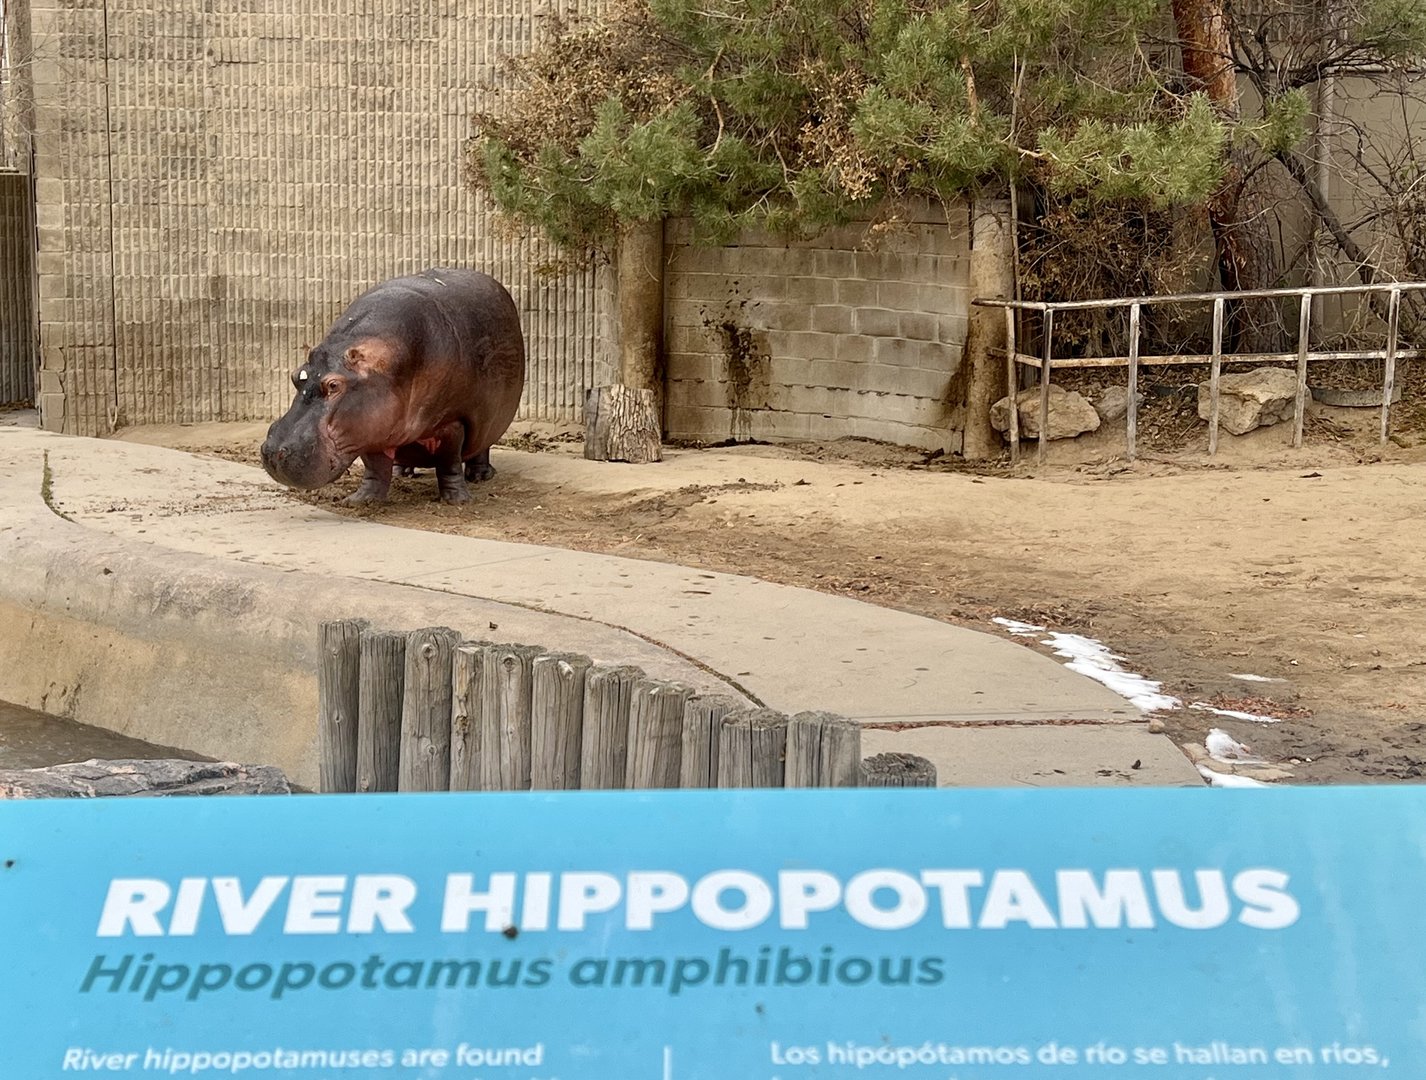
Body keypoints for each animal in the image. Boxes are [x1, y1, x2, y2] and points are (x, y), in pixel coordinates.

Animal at [260, 268, 525, 505]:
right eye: (295, 376)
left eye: (334, 385)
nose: (273, 453)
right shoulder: (370, 428)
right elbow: (375, 468)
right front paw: (359, 501)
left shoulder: (452, 422)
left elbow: (449, 463)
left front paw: (457, 501)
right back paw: (402, 473)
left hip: (490, 418)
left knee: (481, 447)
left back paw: (479, 476)